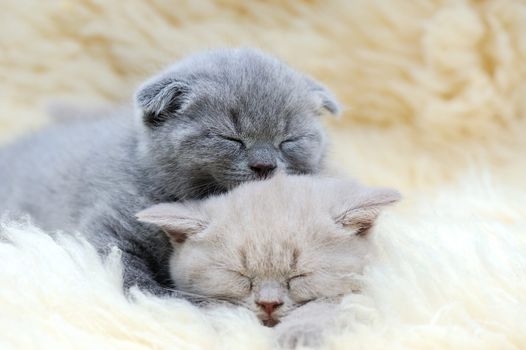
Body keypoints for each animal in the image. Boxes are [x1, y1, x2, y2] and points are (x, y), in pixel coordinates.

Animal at [0, 48, 340, 296]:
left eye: (288, 139)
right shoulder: (108, 229)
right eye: (230, 138)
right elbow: (128, 270)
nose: (264, 165)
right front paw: (165, 299)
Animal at [136, 174, 400, 346]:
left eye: (299, 276)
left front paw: (298, 334)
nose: (269, 304)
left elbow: (325, 304)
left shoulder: (366, 289)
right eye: (241, 276)